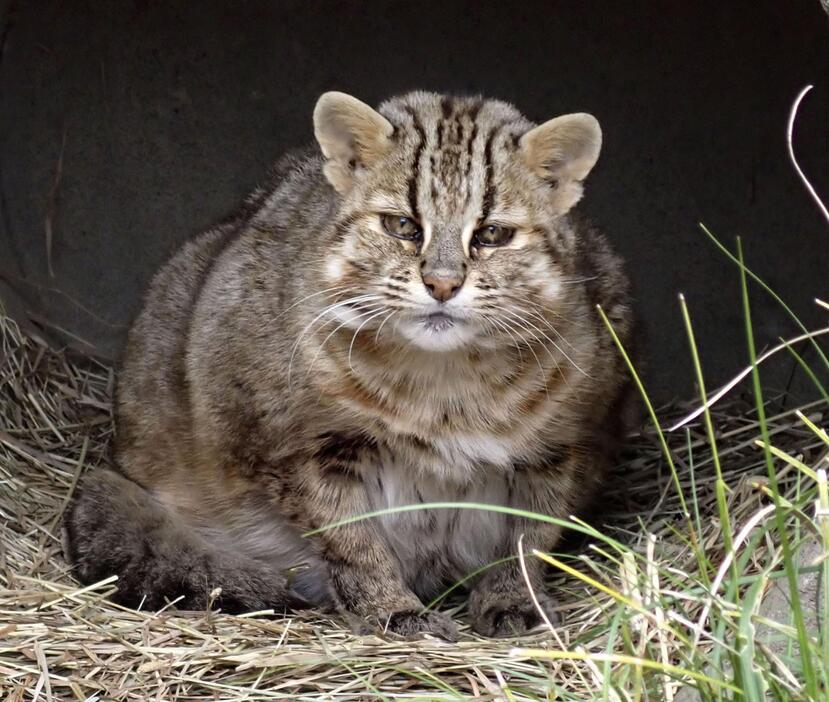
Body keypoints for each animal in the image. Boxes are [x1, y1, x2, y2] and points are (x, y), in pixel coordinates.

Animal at [64, 91, 632, 640]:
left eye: (492, 234)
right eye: (401, 225)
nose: (443, 284)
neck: (446, 380)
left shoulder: (568, 444)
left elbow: (529, 535)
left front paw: (517, 598)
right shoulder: (302, 449)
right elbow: (351, 538)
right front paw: (392, 611)